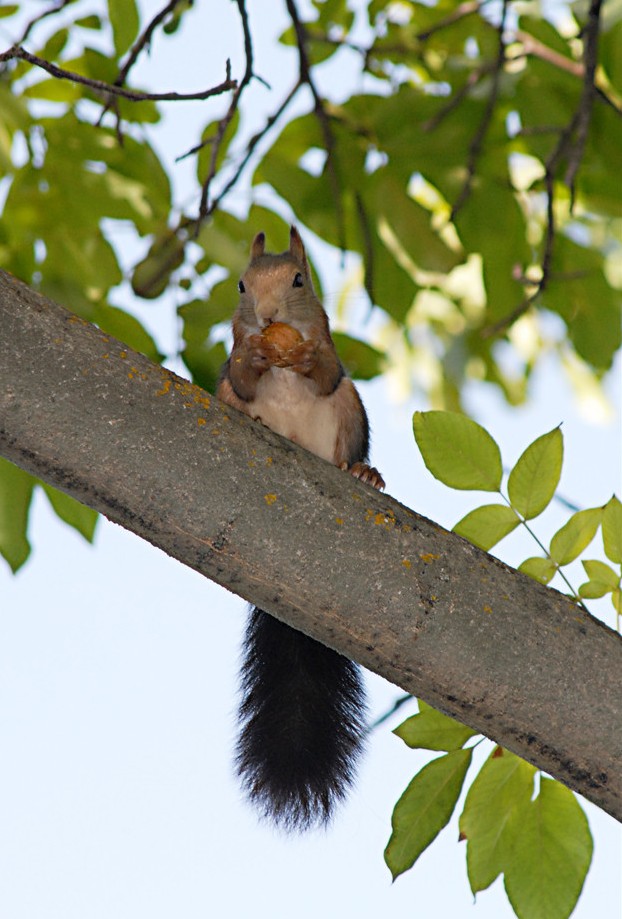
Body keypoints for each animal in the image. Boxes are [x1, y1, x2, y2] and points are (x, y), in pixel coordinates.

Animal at [218, 226, 386, 832]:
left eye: (298, 280)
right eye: (241, 285)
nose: (267, 317)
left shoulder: (333, 358)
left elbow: (325, 368)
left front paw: (306, 355)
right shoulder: (230, 368)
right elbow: (241, 376)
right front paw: (252, 355)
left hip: (350, 409)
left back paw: (363, 472)